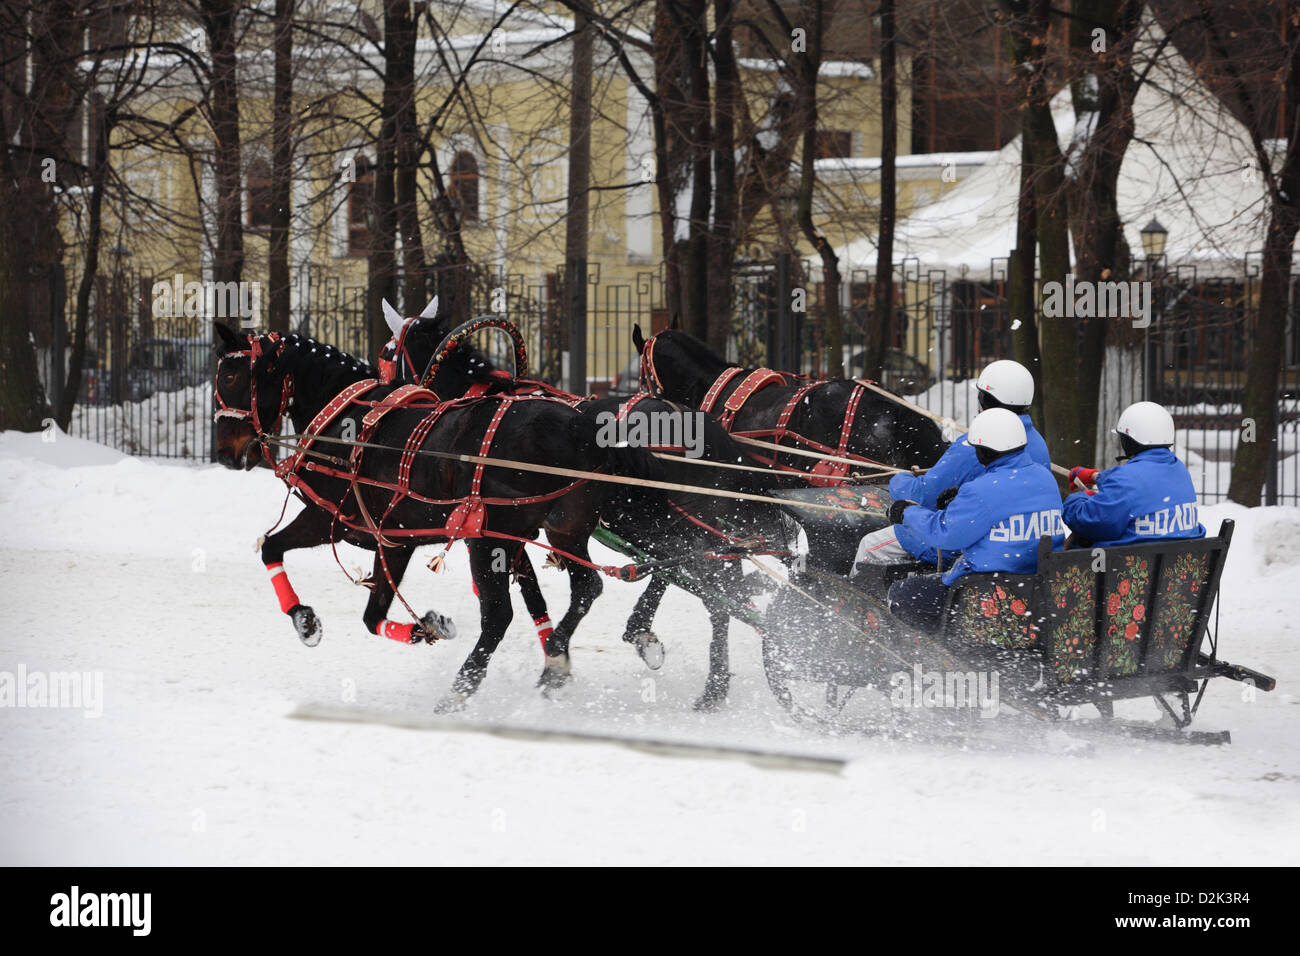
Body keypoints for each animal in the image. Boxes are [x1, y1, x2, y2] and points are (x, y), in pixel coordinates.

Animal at [217, 325, 655, 707]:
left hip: (489, 538)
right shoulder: (395, 540)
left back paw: (461, 689)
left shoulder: (334, 520)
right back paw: (555, 663)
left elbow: (274, 549)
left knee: (499, 616)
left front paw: (304, 619)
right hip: (563, 530)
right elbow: (370, 613)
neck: (347, 421)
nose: (225, 452)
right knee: (586, 588)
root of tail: (580, 426)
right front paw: (423, 625)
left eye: (231, 377)